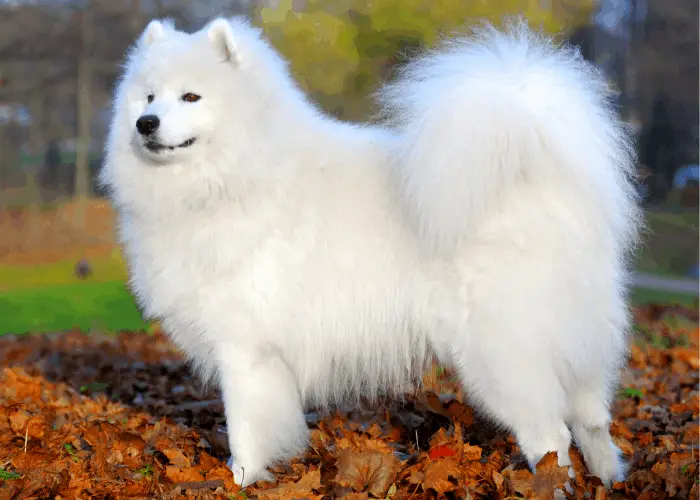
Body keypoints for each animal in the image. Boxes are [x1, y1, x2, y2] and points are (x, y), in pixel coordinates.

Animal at [101, 14, 644, 488]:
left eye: (191, 96)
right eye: (148, 95)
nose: (146, 122)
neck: (237, 176)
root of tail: (541, 183)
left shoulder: (245, 348)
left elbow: (244, 430)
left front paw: (240, 480)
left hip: (503, 354)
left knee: (551, 436)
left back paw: (553, 484)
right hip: (577, 346)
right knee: (593, 422)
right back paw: (609, 479)